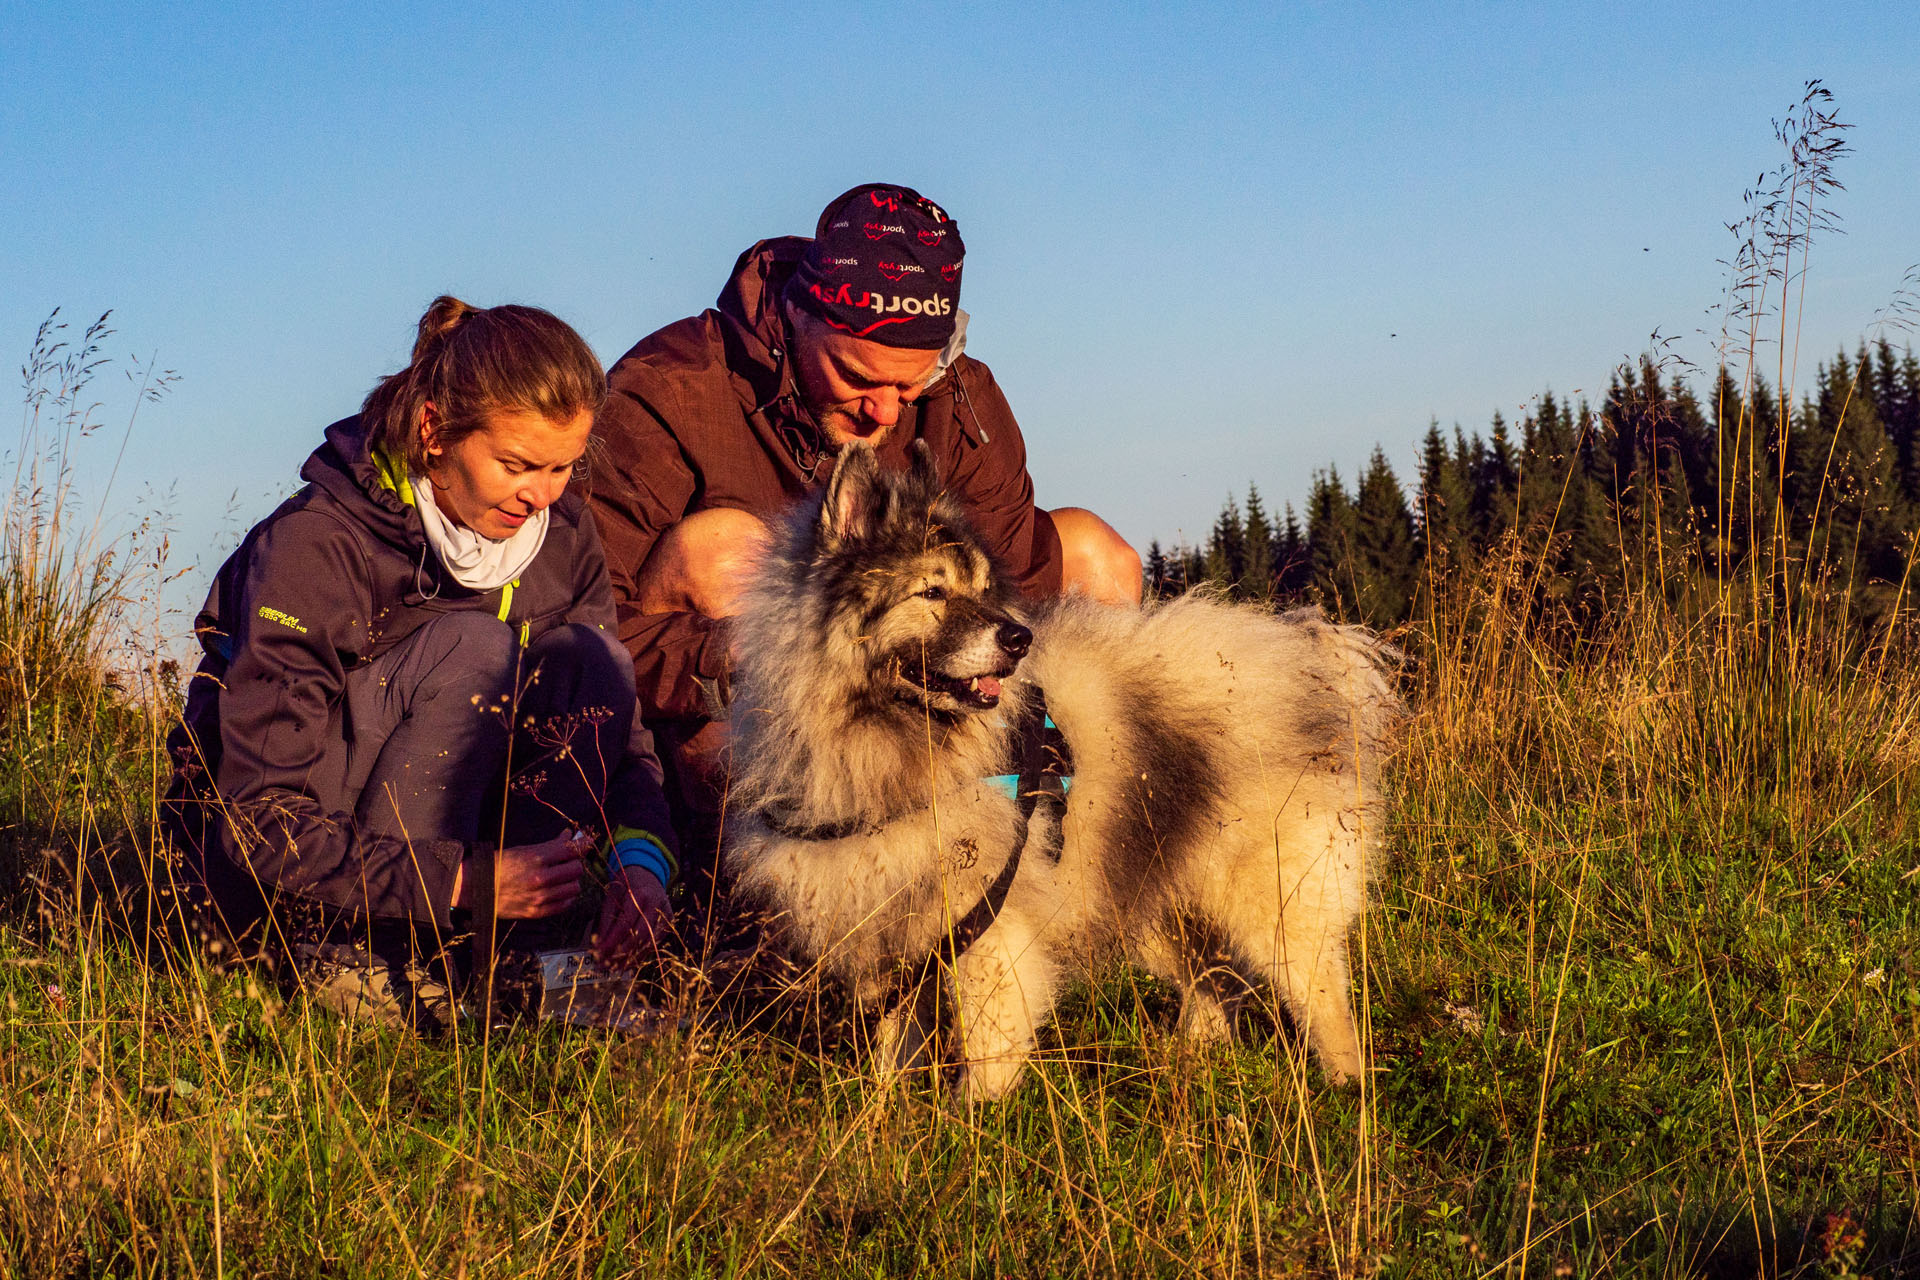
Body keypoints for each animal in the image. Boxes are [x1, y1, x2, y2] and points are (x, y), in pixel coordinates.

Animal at [721, 443, 1397, 1105]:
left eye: (984, 590)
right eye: (932, 593)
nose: (1019, 637)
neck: (892, 742)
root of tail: (1307, 661)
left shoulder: (987, 927)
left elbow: (987, 1042)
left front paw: (973, 1118)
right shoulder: (884, 929)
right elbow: (893, 1041)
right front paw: (886, 1111)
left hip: (1270, 900)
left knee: (1318, 995)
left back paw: (1346, 1087)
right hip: (1148, 890)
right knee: (1213, 979)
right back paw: (1189, 1058)